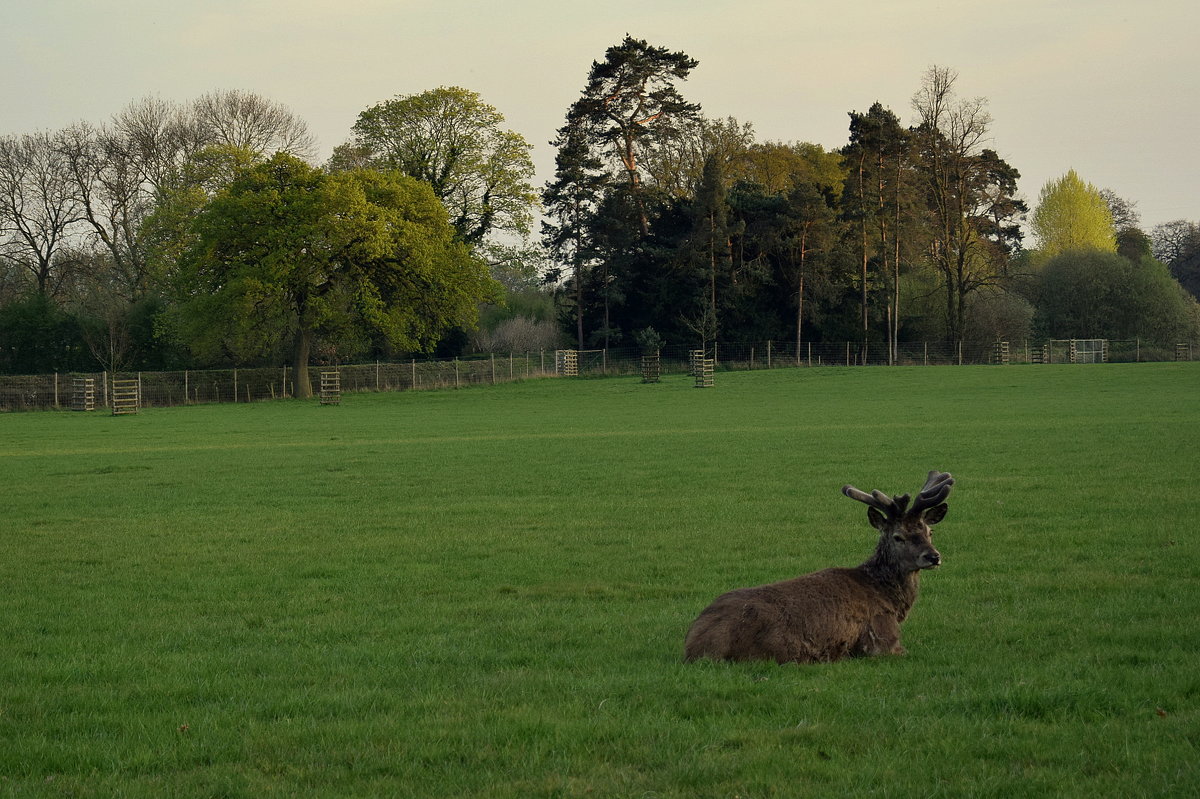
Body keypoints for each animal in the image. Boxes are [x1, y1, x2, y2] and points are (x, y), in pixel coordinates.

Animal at [686, 470, 955, 662]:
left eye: (929, 531)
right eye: (898, 536)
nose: (933, 557)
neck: (889, 599)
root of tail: (693, 647)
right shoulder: (881, 640)